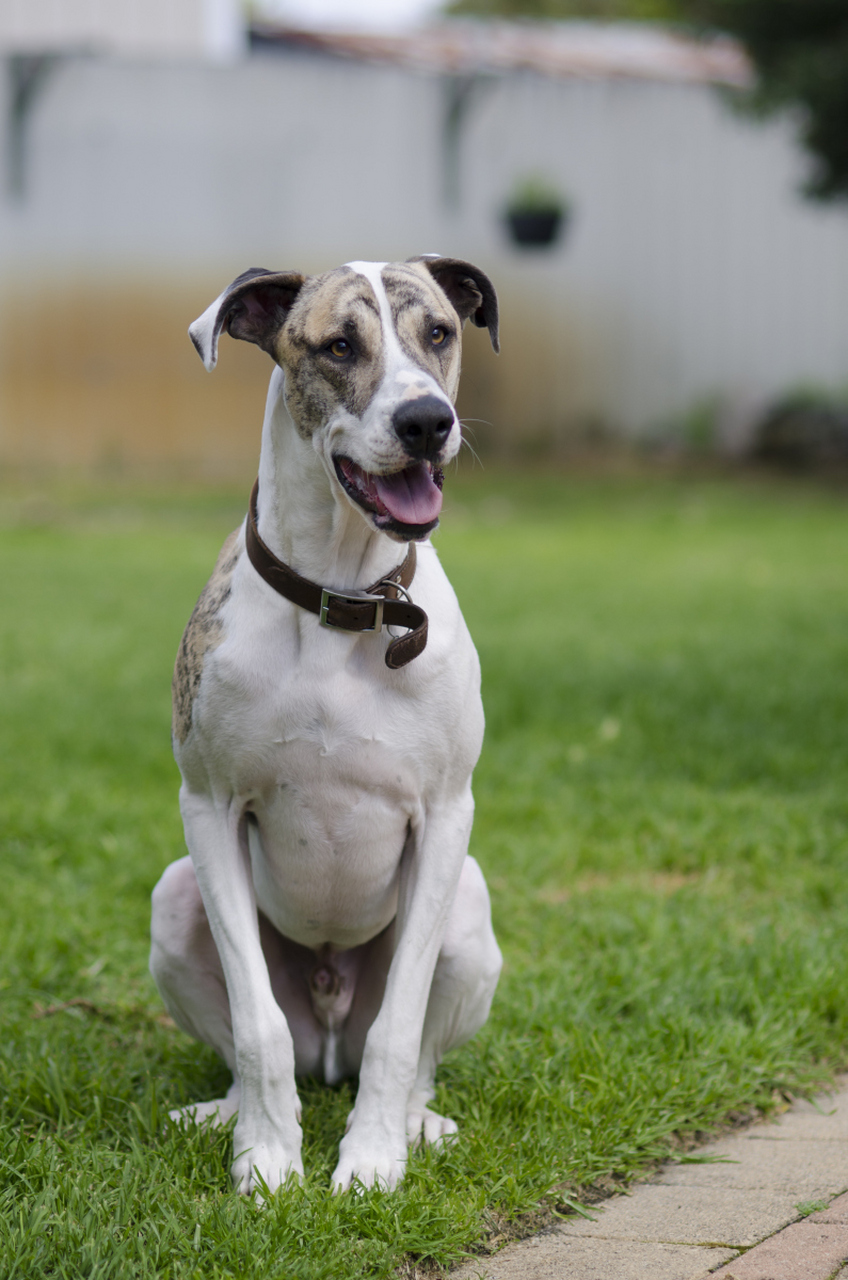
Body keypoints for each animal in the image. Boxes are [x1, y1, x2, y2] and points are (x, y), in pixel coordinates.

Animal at [150, 254, 504, 1192]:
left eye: (439, 333)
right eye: (340, 345)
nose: (427, 421)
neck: (344, 599)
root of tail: (331, 1030)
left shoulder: (445, 814)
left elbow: (399, 1031)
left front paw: (372, 1160)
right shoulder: (209, 807)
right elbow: (257, 1024)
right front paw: (269, 1161)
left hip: (469, 909)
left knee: (407, 1052)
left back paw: (414, 1121)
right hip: (175, 899)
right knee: (257, 1039)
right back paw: (229, 1113)